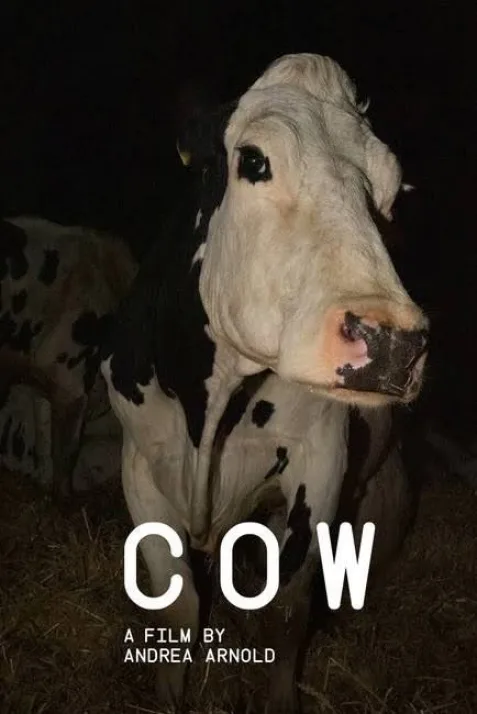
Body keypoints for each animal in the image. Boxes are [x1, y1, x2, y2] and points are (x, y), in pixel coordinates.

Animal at [101, 54, 429, 713]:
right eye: (253, 160)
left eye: (389, 192)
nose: (393, 343)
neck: (210, 409)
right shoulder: (138, 463)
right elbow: (179, 603)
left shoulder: (321, 460)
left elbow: (289, 608)